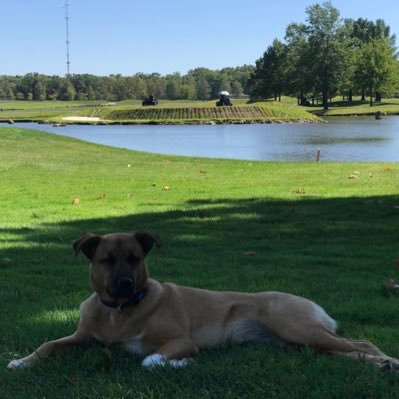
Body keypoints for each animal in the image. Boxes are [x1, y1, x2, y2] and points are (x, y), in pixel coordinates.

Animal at [5, 231, 399, 372]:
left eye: (134, 258)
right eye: (106, 260)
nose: (125, 284)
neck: (120, 312)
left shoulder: (181, 340)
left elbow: (149, 359)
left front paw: (179, 365)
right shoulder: (81, 337)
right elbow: (47, 344)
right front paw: (21, 361)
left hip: (296, 327)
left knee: (363, 341)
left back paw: (388, 361)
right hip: (297, 343)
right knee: (337, 351)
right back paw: (379, 365)